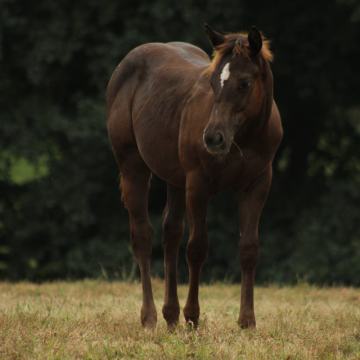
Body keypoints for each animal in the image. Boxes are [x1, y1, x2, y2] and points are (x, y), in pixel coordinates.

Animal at [105, 25, 282, 330]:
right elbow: (197, 247)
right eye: (213, 82)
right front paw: (193, 316)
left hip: (175, 180)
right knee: (142, 235)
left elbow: (248, 248)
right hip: (133, 166)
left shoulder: (257, 184)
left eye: (245, 83)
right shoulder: (198, 184)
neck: (243, 139)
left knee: (171, 232)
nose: (212, 138)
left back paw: (170, 315)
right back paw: (150, 317)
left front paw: (247, 321)